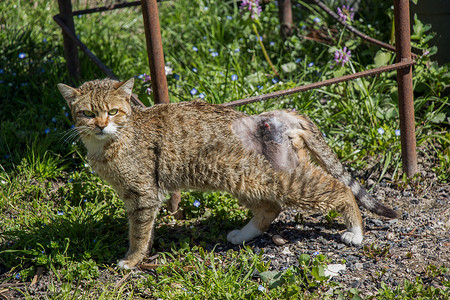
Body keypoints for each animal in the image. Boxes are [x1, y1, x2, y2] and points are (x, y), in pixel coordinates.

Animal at [57, 78, 398, 270]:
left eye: (113, 112)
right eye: (87, 113)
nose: (101, 125)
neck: (113, 140)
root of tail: (279, 113)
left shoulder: (142, 195)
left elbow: (138, 233)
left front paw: (132, 260)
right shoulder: (140, 197)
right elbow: (146, 230)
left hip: (283, 179)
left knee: (340, 189)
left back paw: (356, 231)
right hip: (246, 179)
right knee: (270, 209)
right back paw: (243, 234)